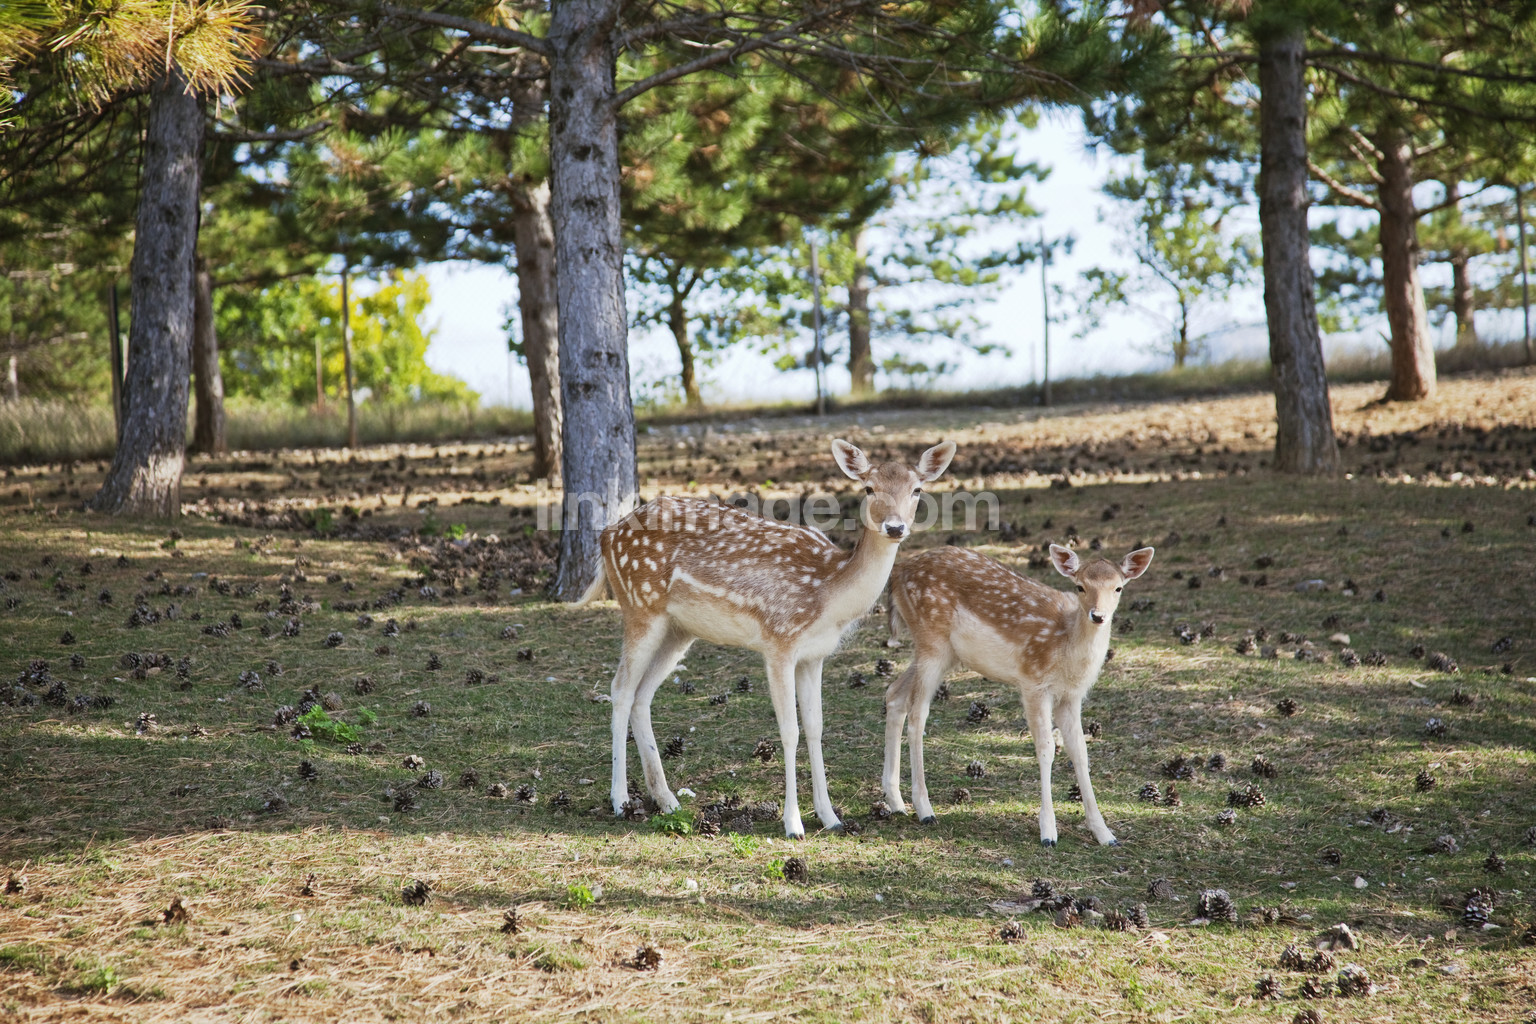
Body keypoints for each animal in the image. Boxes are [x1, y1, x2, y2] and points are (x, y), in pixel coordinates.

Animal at [579, 438, 957, 838]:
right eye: (869, 488)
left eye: (917, 490)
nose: (895, 527)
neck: (828, 594)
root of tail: (606, 535)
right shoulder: (779, 642)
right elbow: (789, 730)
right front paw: (793, 824)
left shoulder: (814, 655)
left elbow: (816, 728)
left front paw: (830, 817)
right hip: (640, 606)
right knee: (620, 689)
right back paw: (620, 800)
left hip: (678, 629)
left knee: (642, 695)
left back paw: (666, 799)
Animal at [881, 542, 1153, 847]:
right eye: (1080, 586)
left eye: (1118, 588)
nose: (1098, 616)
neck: (1065, 649)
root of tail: (898, 572)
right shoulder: (1033, 682)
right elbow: (1046, 748)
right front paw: (1048, 832)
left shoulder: (1071, 696)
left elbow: (1080, 751)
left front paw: (1105, 833)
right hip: (932, 642)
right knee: (918, 714)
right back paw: (924, 809)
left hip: (943, 653)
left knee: (895, 694)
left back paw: (896, 802)